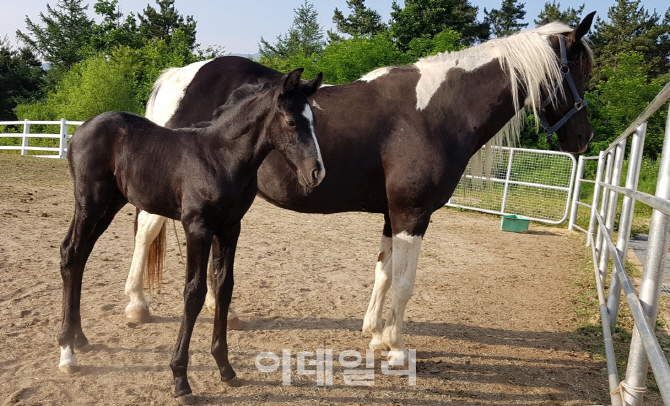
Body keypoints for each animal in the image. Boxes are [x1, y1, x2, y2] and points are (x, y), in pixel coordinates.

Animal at [57, 67, 326, 402]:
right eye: (290, 121)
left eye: (313, 121)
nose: (316, 173)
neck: (221, 157)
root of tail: (80, 130)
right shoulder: (197, 227)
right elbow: (194, 292)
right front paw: (180, 380)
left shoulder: (230, 227)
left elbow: (224, 287)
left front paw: (225, 368)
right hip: (89, 204)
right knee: (70, 253)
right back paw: (67, 353)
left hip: (109, 205)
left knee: (79, 257)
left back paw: (79, 339)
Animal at [124, 15, 592, 364]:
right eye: (578, 71)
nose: (584, 139)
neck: (436, 112)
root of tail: (181, 74)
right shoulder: (412, 214)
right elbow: (404, 282)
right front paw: (397, 349)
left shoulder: (392, 214)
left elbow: (383, 271)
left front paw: (375, 334)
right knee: (146, 231)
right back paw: (136, 306)